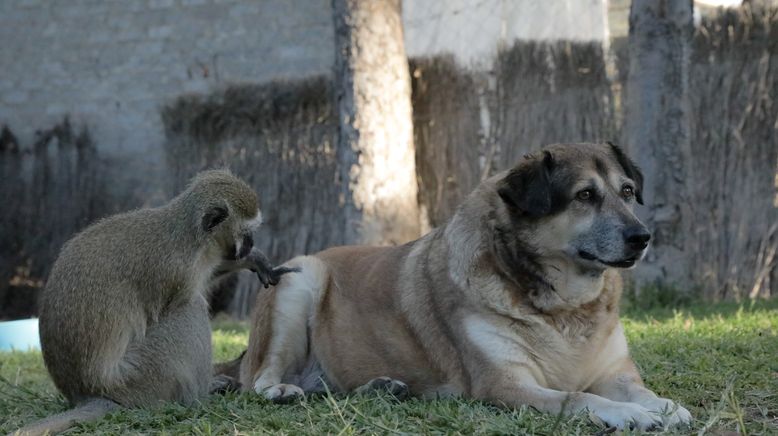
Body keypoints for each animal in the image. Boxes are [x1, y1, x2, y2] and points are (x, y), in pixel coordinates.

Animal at [232, 142, 692, 430]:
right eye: (584, 196)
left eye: (627, 191)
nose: (643, 237)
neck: (565, 304)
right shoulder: (505, 385)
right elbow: (580, 399)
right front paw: (630, 415)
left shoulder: (614, 373)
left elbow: (644, 392)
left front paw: (666, 407)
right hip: (300, 279)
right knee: (256, 380)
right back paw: (282, 390)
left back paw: (381, 387)